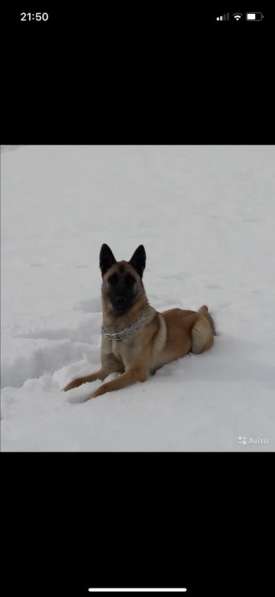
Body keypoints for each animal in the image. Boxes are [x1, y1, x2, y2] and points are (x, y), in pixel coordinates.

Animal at [63, 242, 217, 400]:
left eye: (131, 280)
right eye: (112, 279)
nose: (120, 300)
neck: (118, 330)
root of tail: (199, 313)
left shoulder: (136, 371)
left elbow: (104, 386)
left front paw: (86, 398)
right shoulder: (106, 369)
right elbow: (78, 380)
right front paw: (66, 390)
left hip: (198, 337)